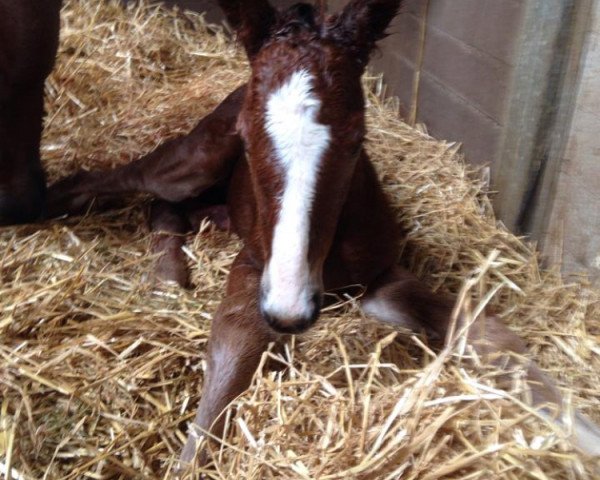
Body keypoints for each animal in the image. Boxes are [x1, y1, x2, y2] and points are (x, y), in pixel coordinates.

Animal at [48, 0, 600, 464]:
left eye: (358, 140)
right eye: (247, 137)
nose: (290, 311)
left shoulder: (380, 273)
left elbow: (484, 331)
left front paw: (578, 431)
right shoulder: (255, 268)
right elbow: (231, 356)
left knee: (168, 208)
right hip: (194, 160)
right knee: (126, 181)